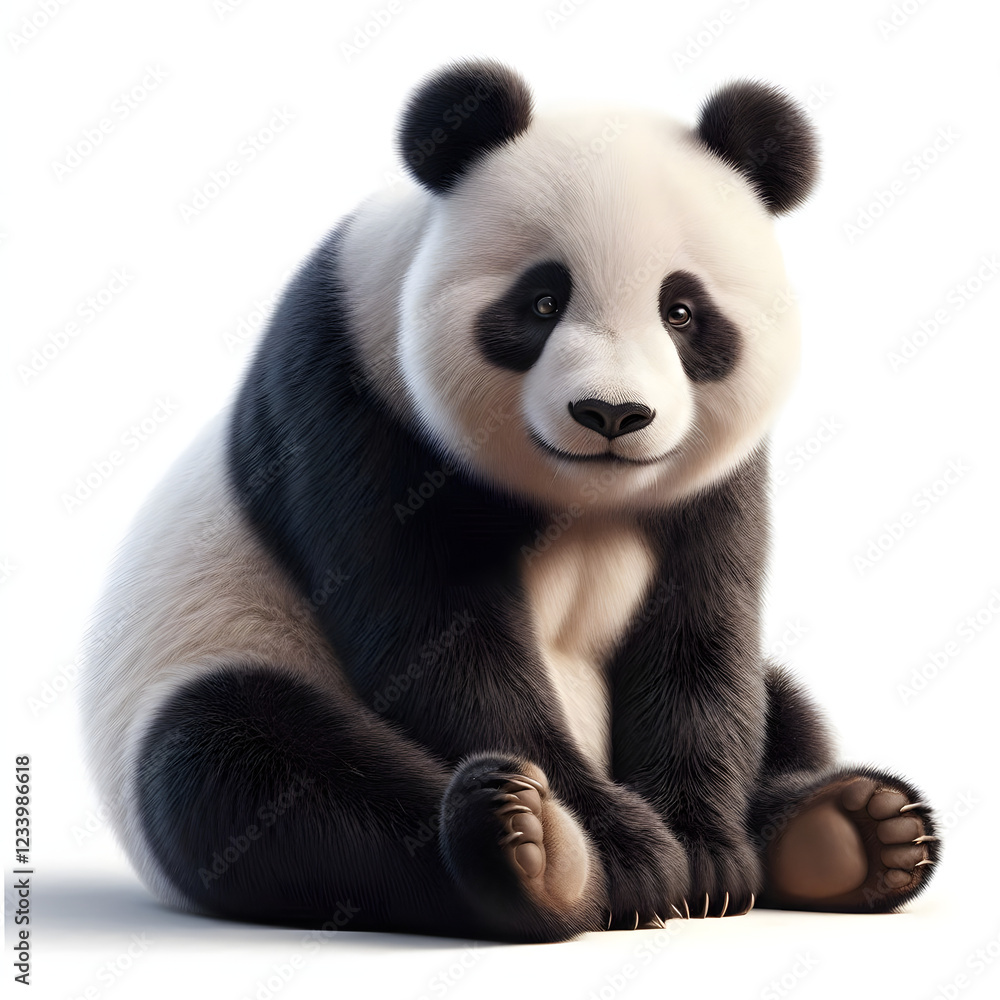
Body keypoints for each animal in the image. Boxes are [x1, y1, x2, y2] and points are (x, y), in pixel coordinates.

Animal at [81, 58, 938, 942]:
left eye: (682, 311)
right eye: (542, 301)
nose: (611, 415)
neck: (579, 496)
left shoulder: (718, 478)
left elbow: (702, 637)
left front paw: (704, 858)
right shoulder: (350, 400)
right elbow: (442, 642)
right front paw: (628, 855)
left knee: (784, 702)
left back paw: (851, 829)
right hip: (212, 662)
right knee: (250, 769)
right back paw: (538, 850)